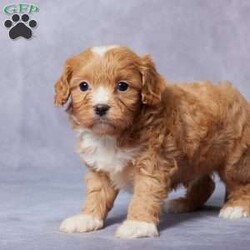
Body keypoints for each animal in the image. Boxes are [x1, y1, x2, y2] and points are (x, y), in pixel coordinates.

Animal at [55, 44, 250, 238]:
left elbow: (145, 194)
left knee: (241, 182)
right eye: (83, 86)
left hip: (235, 159)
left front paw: (138, 224)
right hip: (195, 160)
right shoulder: (99, 169)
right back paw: (184, 203)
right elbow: (96, 194)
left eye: (122, 86)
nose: (101, 108)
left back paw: (237, 207)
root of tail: (238, 96)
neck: (111, 135)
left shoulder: (152, 163)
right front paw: (87, 218)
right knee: (206, 184)